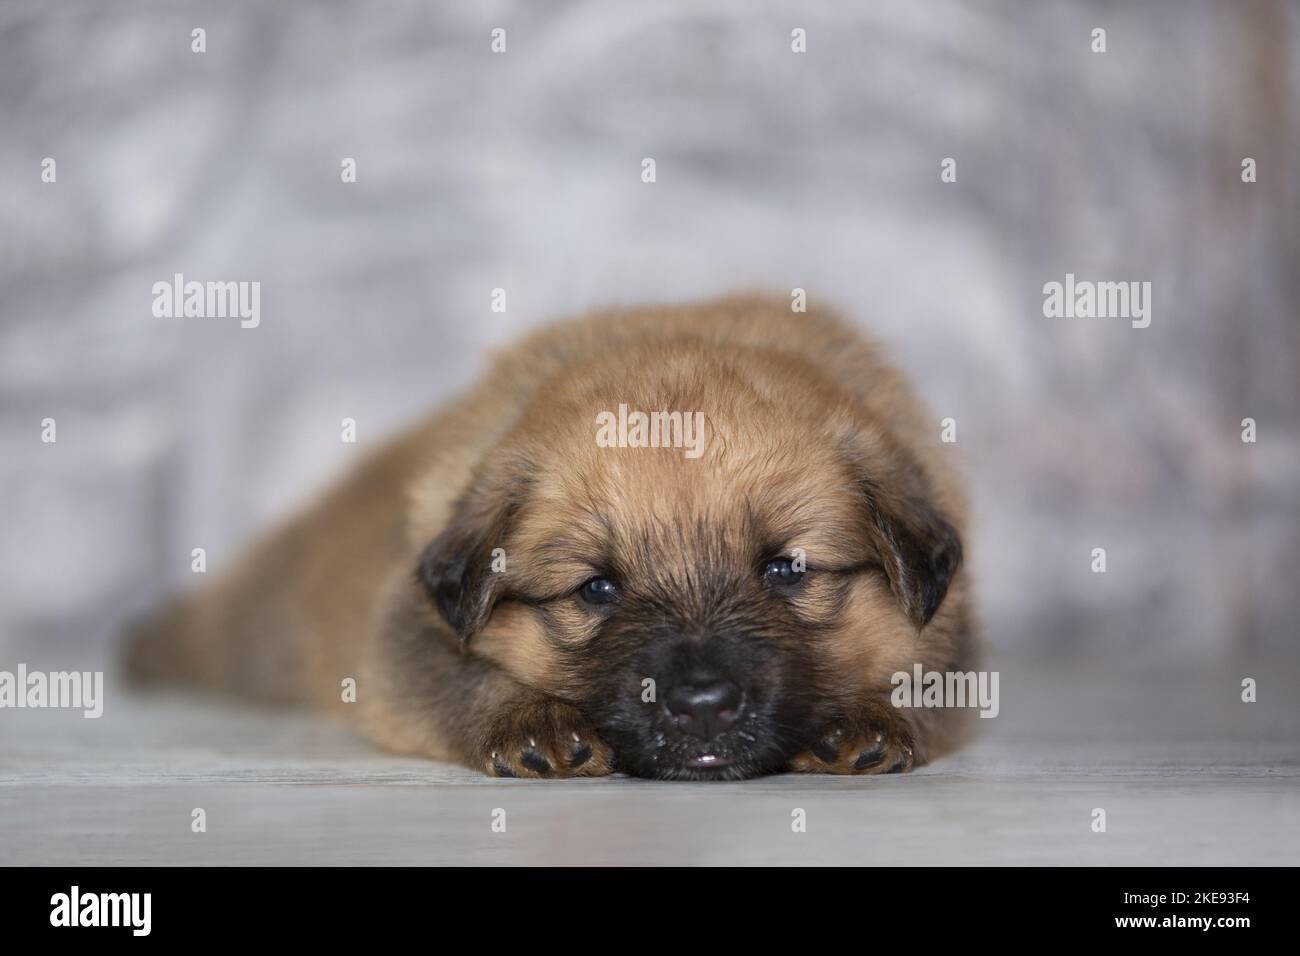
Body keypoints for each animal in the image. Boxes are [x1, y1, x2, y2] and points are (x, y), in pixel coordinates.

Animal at [126, 295, 977, 780]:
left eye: (786, 571)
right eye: (596, 589)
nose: (701, 704)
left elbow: (920, 680)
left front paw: (862, 719)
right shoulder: (411, 637)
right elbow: (467, 682)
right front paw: (534, 723)